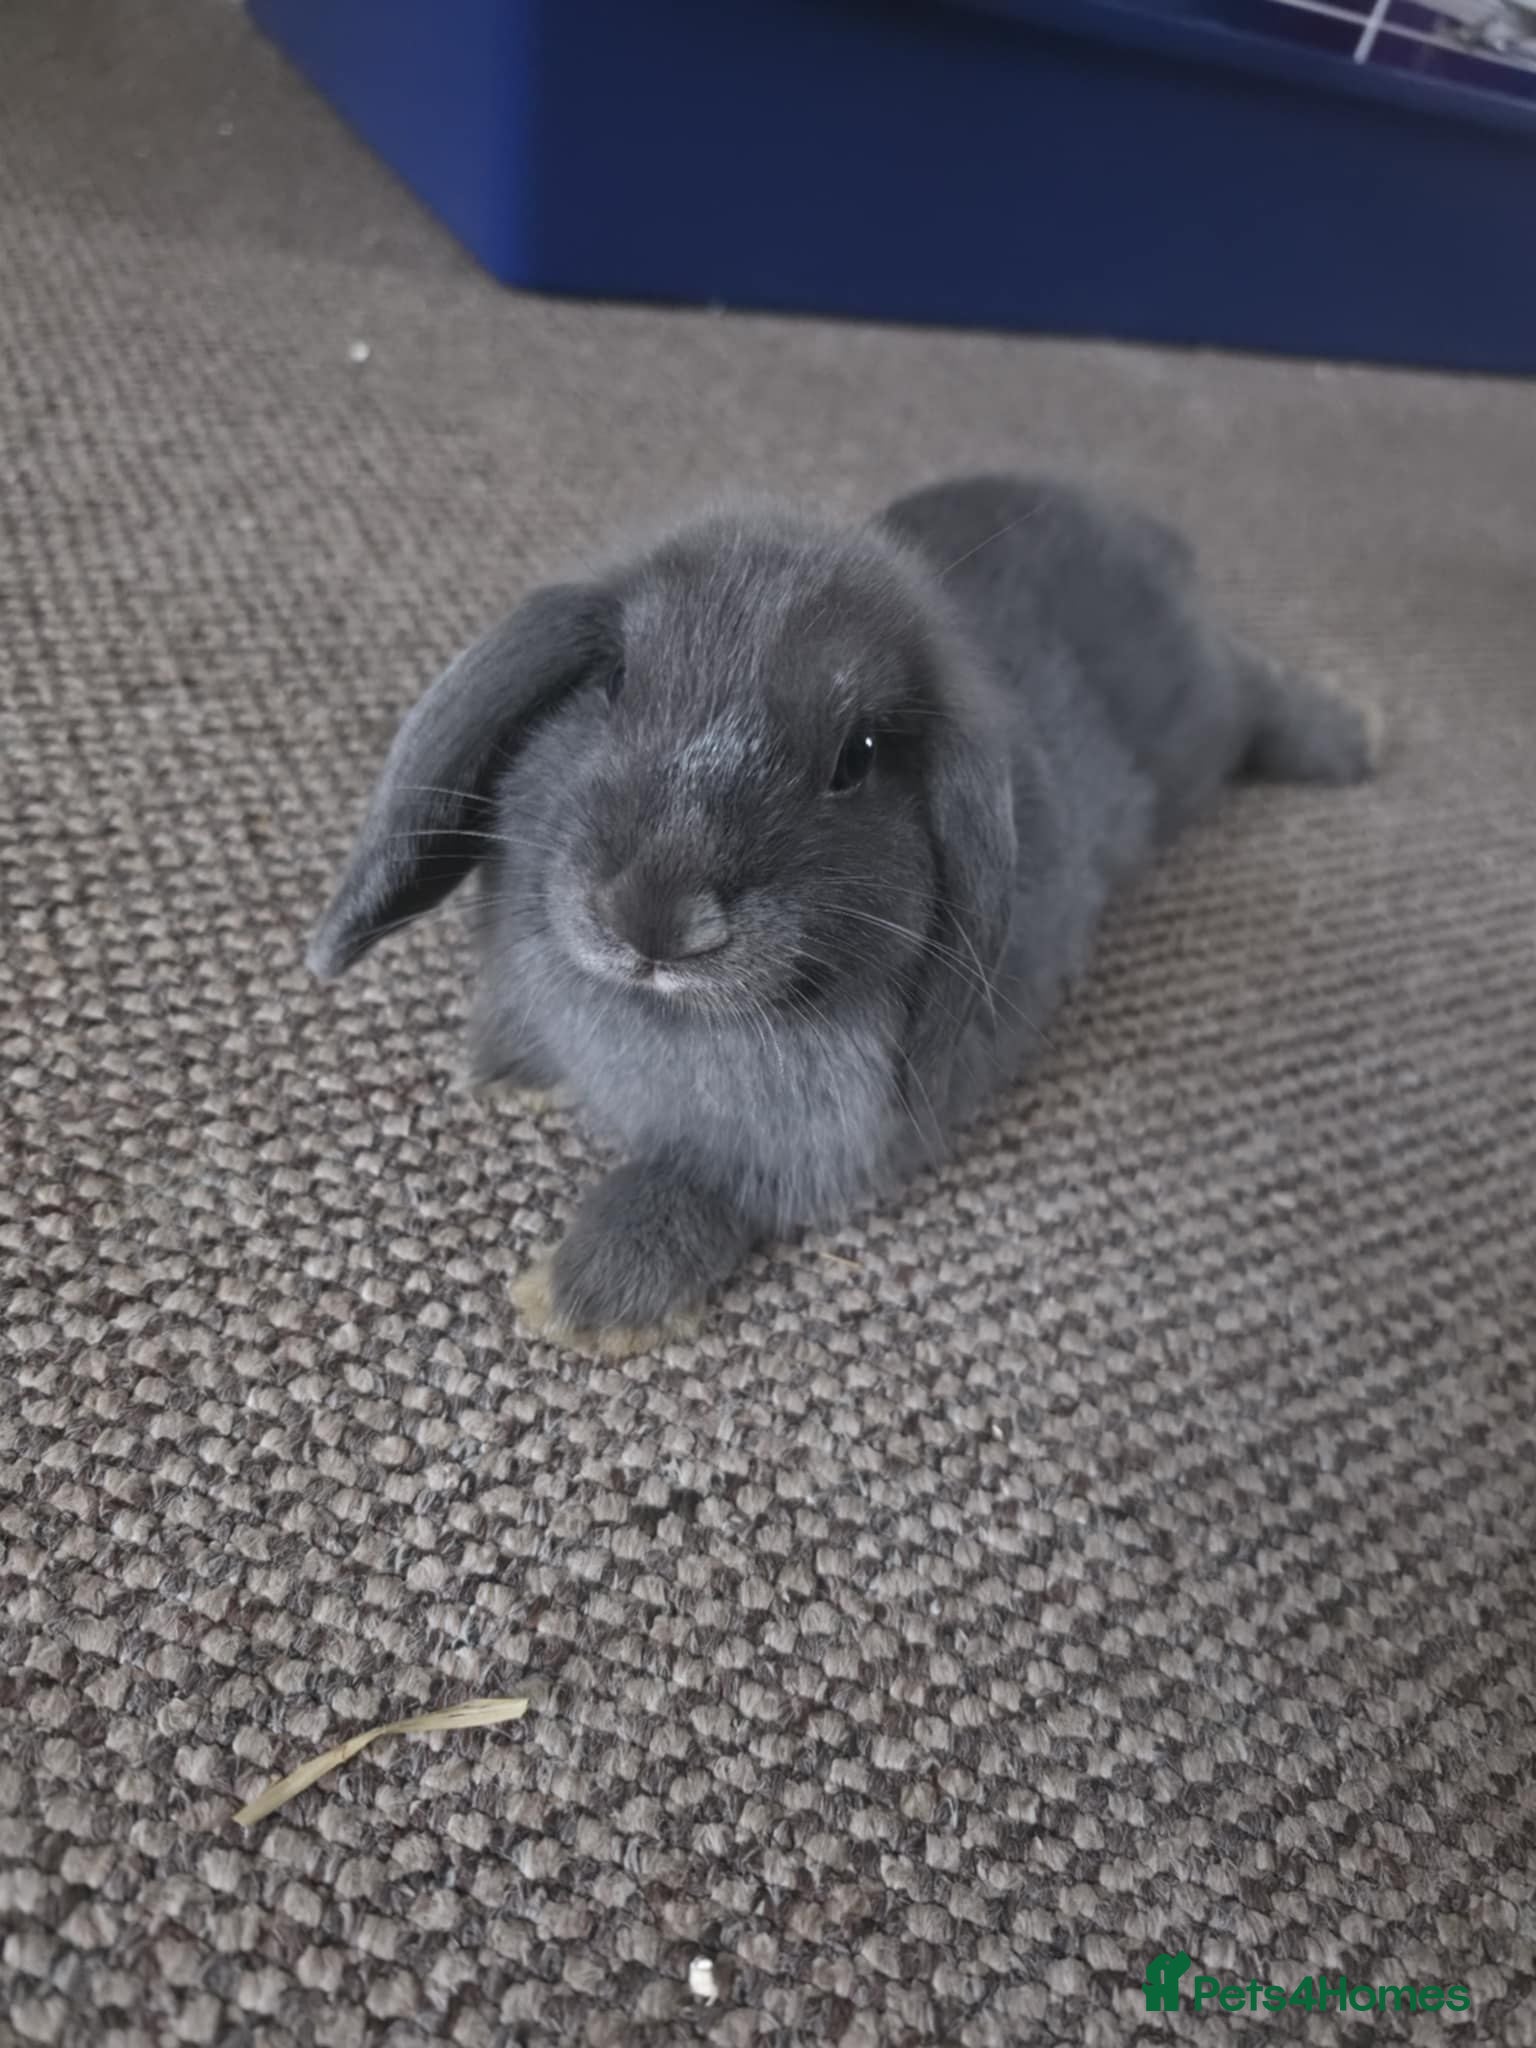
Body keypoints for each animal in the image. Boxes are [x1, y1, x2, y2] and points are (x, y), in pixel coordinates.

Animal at [307, 474, 1379, 1353]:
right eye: (612, 683)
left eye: (855, 759)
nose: (653, 918)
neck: (657, 1016)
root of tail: (1144, 532)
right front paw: (499, 1068)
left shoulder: (800, 1150)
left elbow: (697, 1185)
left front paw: (582, 1300)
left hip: (1201, 723)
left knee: (1256, 693)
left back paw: (1355, 740)